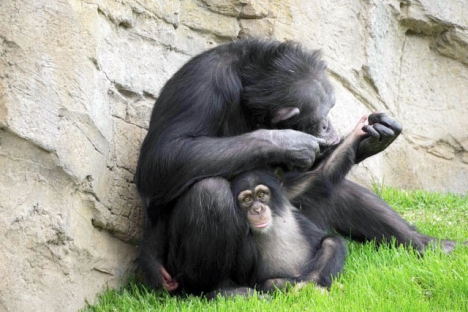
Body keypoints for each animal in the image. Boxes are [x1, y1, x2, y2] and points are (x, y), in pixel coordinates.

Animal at [135, 38, 458, 294]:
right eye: (323, 113)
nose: (329, 123)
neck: (247, 92)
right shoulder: (203, 82)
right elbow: (163, 156)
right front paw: (288, 142)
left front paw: (371, 137)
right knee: (209, 192)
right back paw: (221, 290)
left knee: (334, 188)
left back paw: (429, 245)